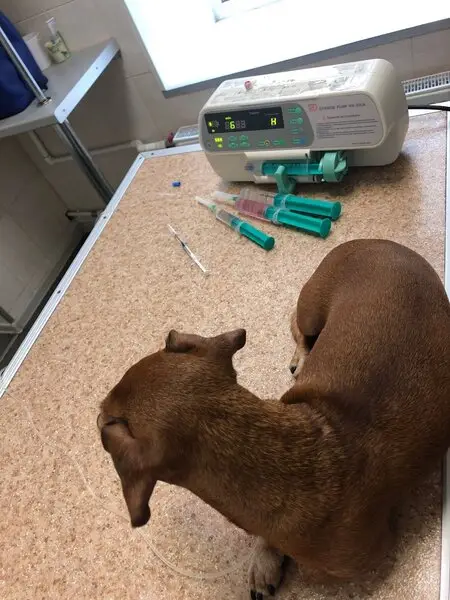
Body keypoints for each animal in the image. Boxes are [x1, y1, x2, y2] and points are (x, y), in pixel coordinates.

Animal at [98, 239, 450, 599]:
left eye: (104, 416)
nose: (97, 410)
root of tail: (381, 243)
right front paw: (264, 561)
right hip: (313, 311)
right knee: (301, 331)